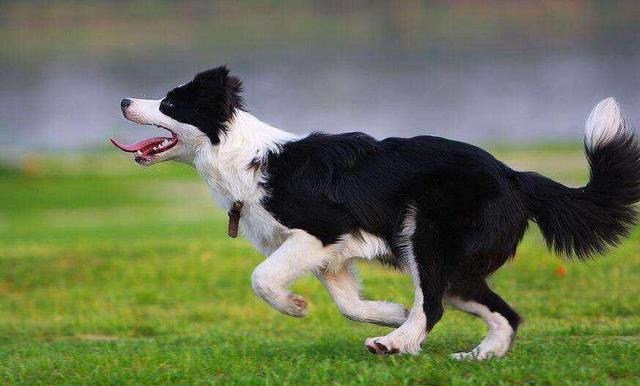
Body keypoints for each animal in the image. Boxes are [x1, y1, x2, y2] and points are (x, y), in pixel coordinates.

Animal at [112, 65, 640, 358]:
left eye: (170, 102)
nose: (123, 99)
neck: (242, 157)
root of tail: (516, 176)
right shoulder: (330, 255)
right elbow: (348, 304)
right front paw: (387, 313)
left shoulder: (321, 230)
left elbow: (262, 278)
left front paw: (295, 306)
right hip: (454, 267)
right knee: (500, 311)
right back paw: (476, 356)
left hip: (425, 239)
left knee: (434, 305)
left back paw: (398, 345)